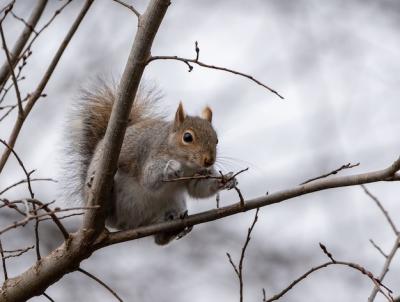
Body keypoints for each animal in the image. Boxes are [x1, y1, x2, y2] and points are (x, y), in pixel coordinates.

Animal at [63, 81, 238, 245]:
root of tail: (130, 224)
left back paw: (172, 228)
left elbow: (199, 189)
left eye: (216, 139)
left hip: (174, 203)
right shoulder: (149, 154)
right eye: (187, 137)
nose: (209, 161)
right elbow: (149, 180)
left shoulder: (196, 175)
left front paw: (227, 179)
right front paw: (171, 167)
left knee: (159, 240)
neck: (186, 164)